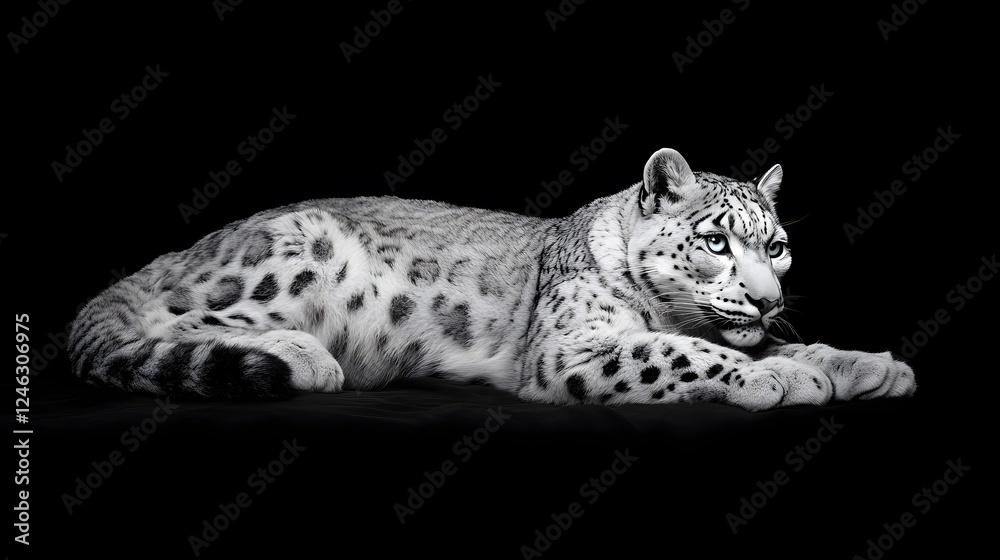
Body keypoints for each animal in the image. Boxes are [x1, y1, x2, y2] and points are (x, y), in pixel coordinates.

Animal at [68, 148, 916, 411]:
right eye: (715, 240)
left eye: (778, 247)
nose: (770, 298)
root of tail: (184, 248)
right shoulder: (573, 348)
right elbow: (682, 350)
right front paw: (780, 379)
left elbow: (785, 345)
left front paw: (869, 365)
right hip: (294, 251)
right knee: (167, 324)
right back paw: (306, 357)